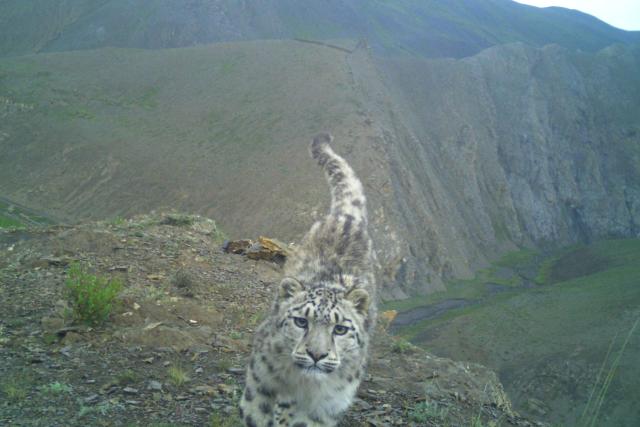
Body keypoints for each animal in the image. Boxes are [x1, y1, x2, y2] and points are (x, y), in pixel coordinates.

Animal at [239, 133, 377, 427]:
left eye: (341, 329)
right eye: (301, 321)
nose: (316, 355)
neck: (303, 387)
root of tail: (348, 216)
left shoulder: (324, 409)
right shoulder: (261, 380)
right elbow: (257, 415)